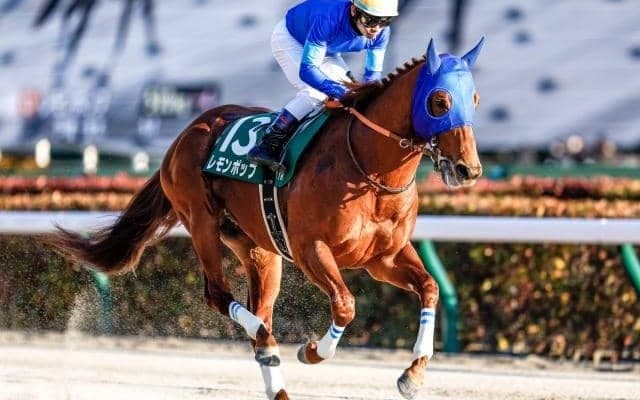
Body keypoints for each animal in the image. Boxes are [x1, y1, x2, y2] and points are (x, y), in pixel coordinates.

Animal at [49, 37, 484, 400]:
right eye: (440, 101)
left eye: (475, 99)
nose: (469, 169)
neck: (369, 170)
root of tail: (184, 135)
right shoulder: (311, 249)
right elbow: (345, 304)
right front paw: (312, 350)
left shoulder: (383, 257)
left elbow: (429, 287)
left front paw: (413, 374)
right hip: (202, 222)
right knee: (220, 296)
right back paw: (265, 337)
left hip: (260, 249)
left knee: (258, 308)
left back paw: (275, 374)